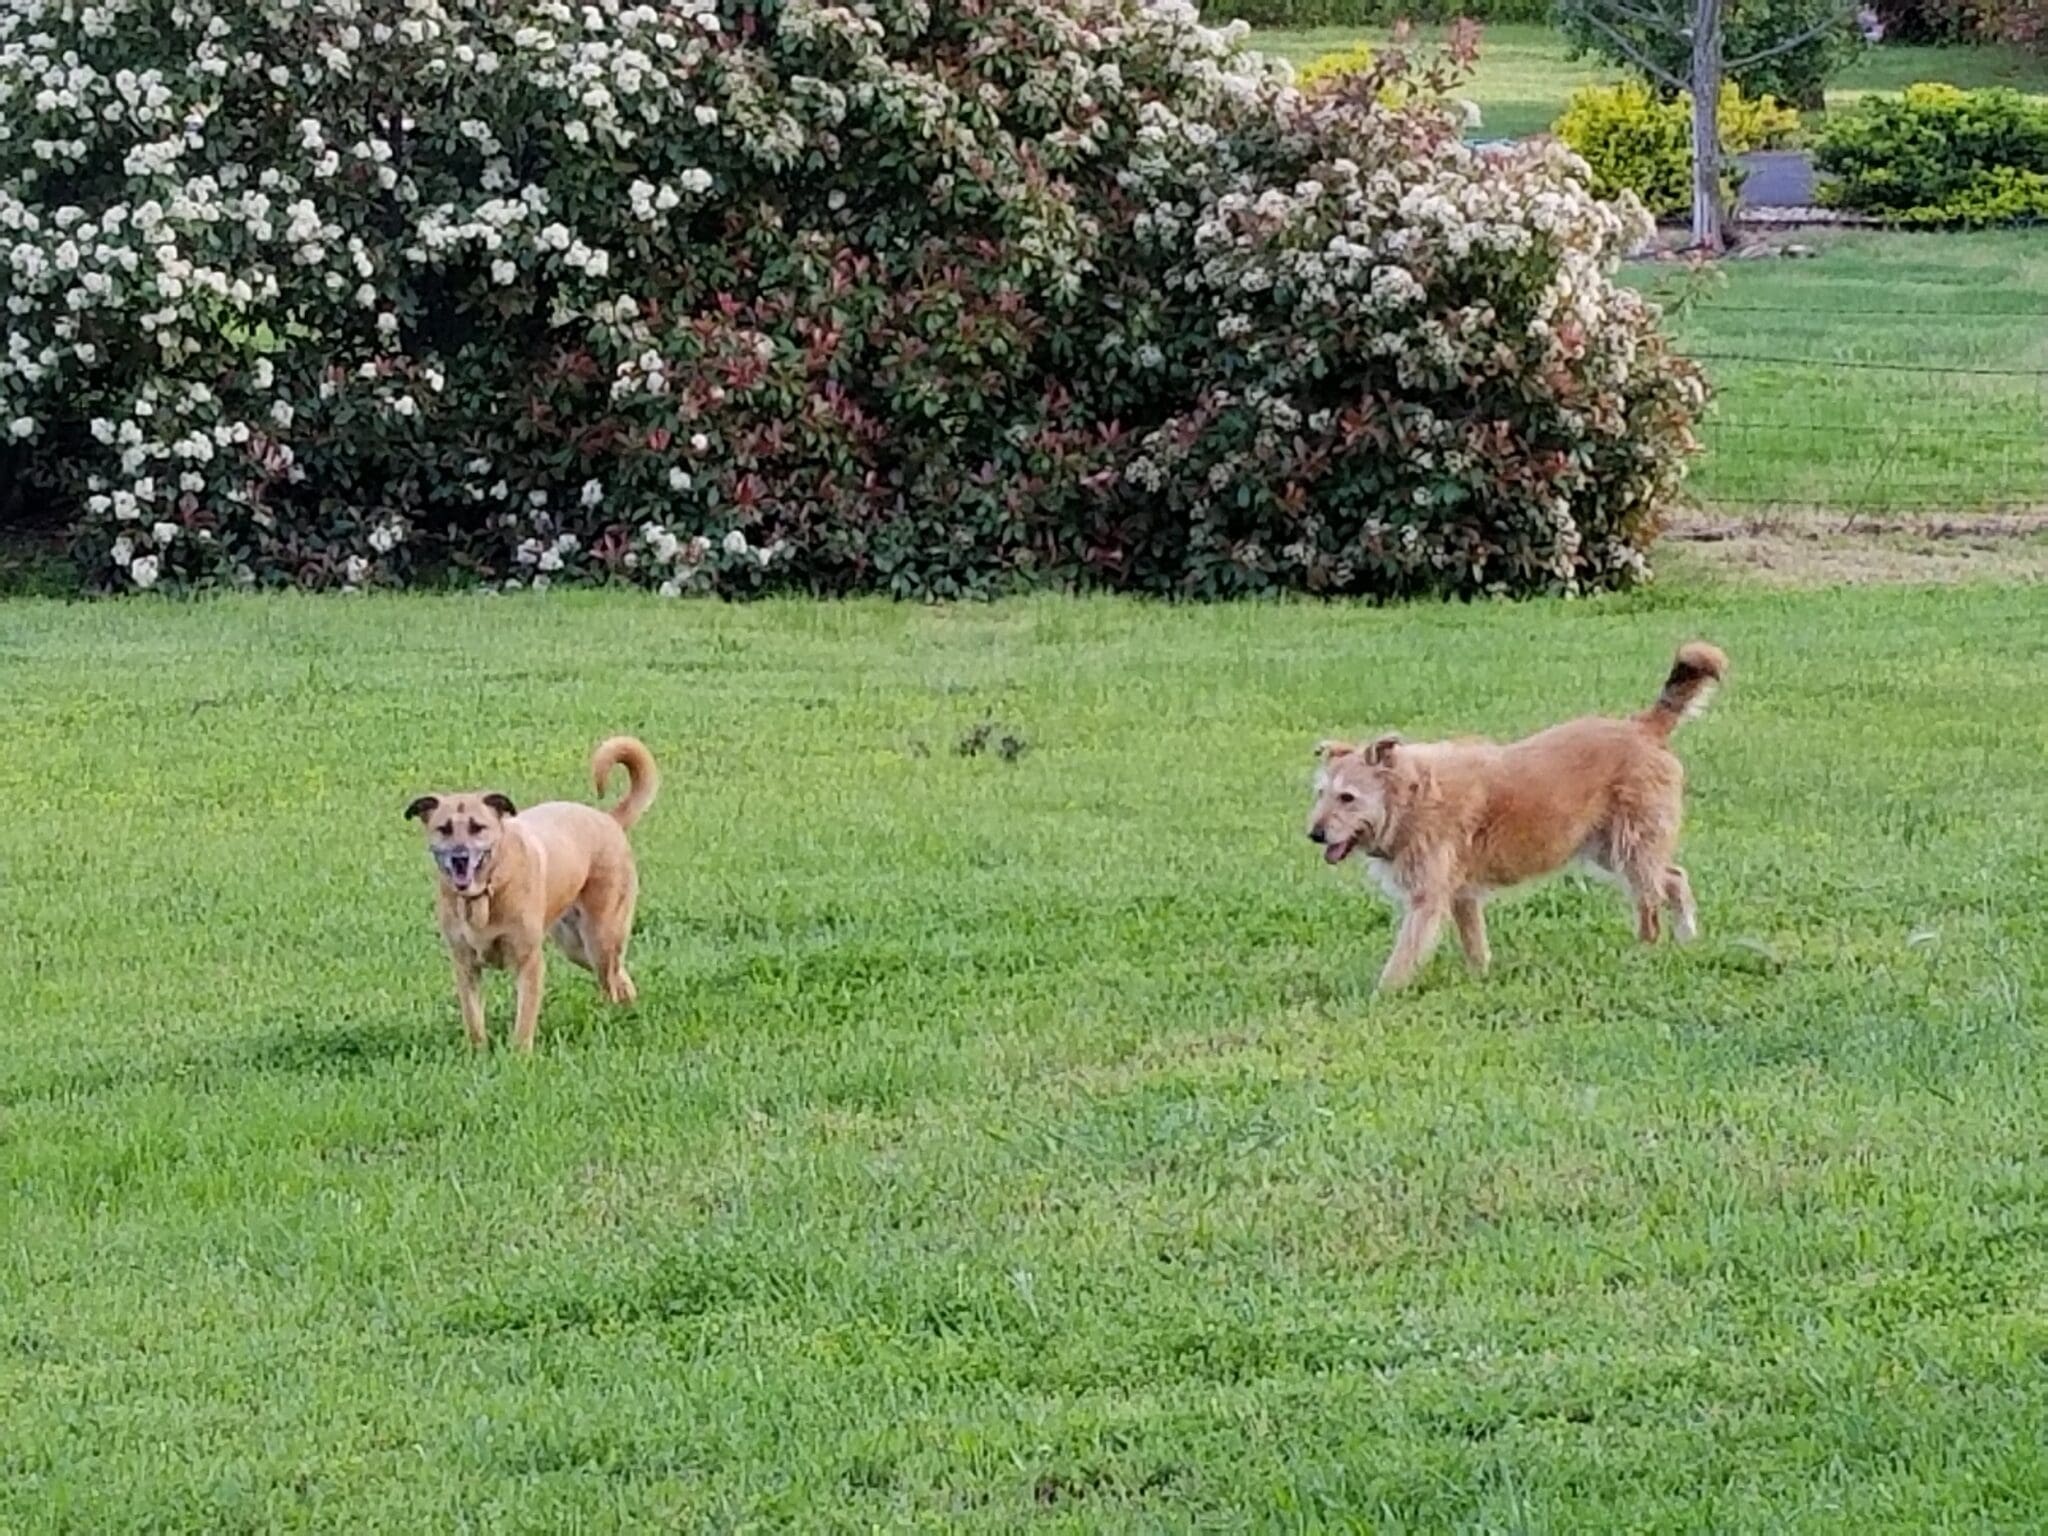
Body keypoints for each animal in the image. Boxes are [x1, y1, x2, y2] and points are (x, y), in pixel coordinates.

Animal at [399, 741, 655, 1056]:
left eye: (477, 827)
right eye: (444, 828)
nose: (460, 857)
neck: (484, 896)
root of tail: (609, 820)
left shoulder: (528, 960)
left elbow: (524, 1019)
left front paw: (519, 1056)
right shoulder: (465, 964)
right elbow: (473, 1018)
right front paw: (478, 1053)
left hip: (601, 936)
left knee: (611, 981)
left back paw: (614, 1018)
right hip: (575, 945)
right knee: (621, 977)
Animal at [1302, 643, 1720, 991]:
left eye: (1348, 798)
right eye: (1321, 793)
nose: (1315, 834)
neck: (1409, 797)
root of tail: (1642, 726)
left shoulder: (1427, 899)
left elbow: (1404, 955)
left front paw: (1379, 995)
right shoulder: (1462, 894)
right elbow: (1475, 944)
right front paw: (1481, 979)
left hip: (1631, 845)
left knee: (1651, 898)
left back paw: (1647, 950)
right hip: (1609, 848)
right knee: (1674, 878)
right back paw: (1687, 939)